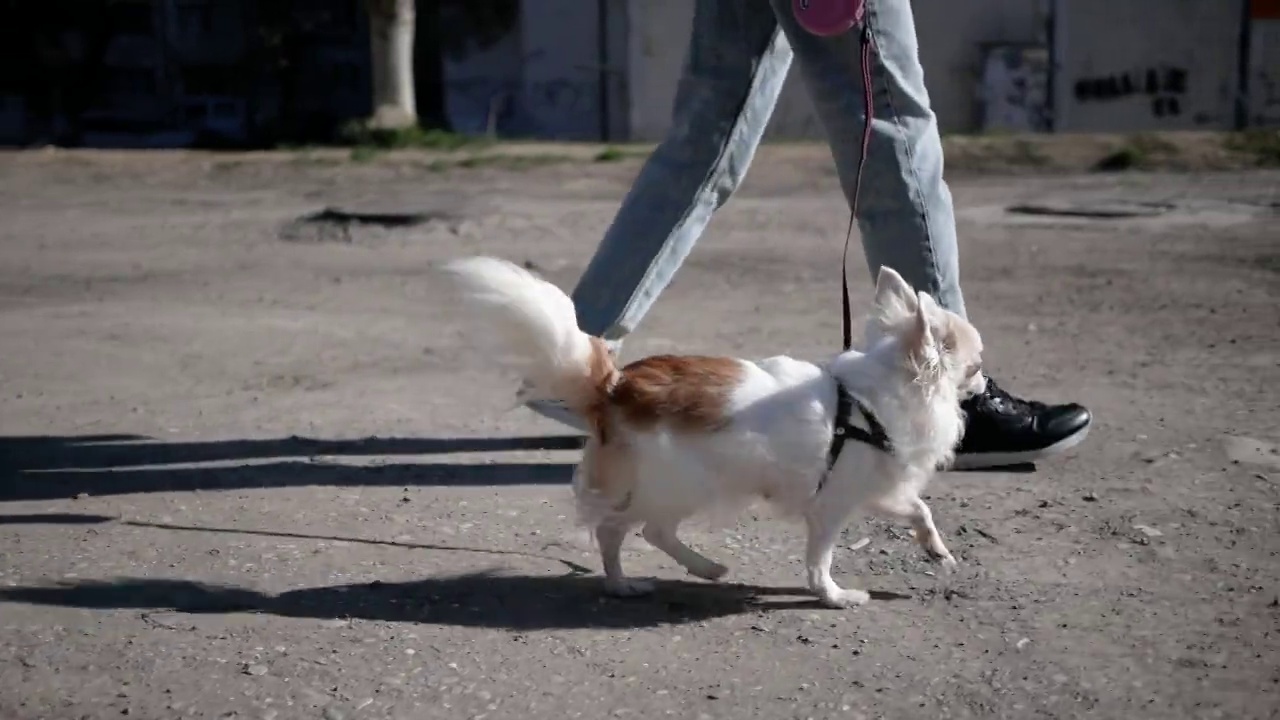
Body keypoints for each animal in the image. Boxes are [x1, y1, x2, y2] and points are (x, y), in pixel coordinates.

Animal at [445, 254, 983, 602]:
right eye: (975, 366)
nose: (984, 384)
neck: (869, 402)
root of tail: (616, 386)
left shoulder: (874, 488)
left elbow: (919, 510)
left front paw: (936, 550)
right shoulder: (831, 505)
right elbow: (820, 557)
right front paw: (833, 595)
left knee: (648, 531)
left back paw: (702, 568)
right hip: (682, 483)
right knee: (618, 529)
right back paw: (625, 584)